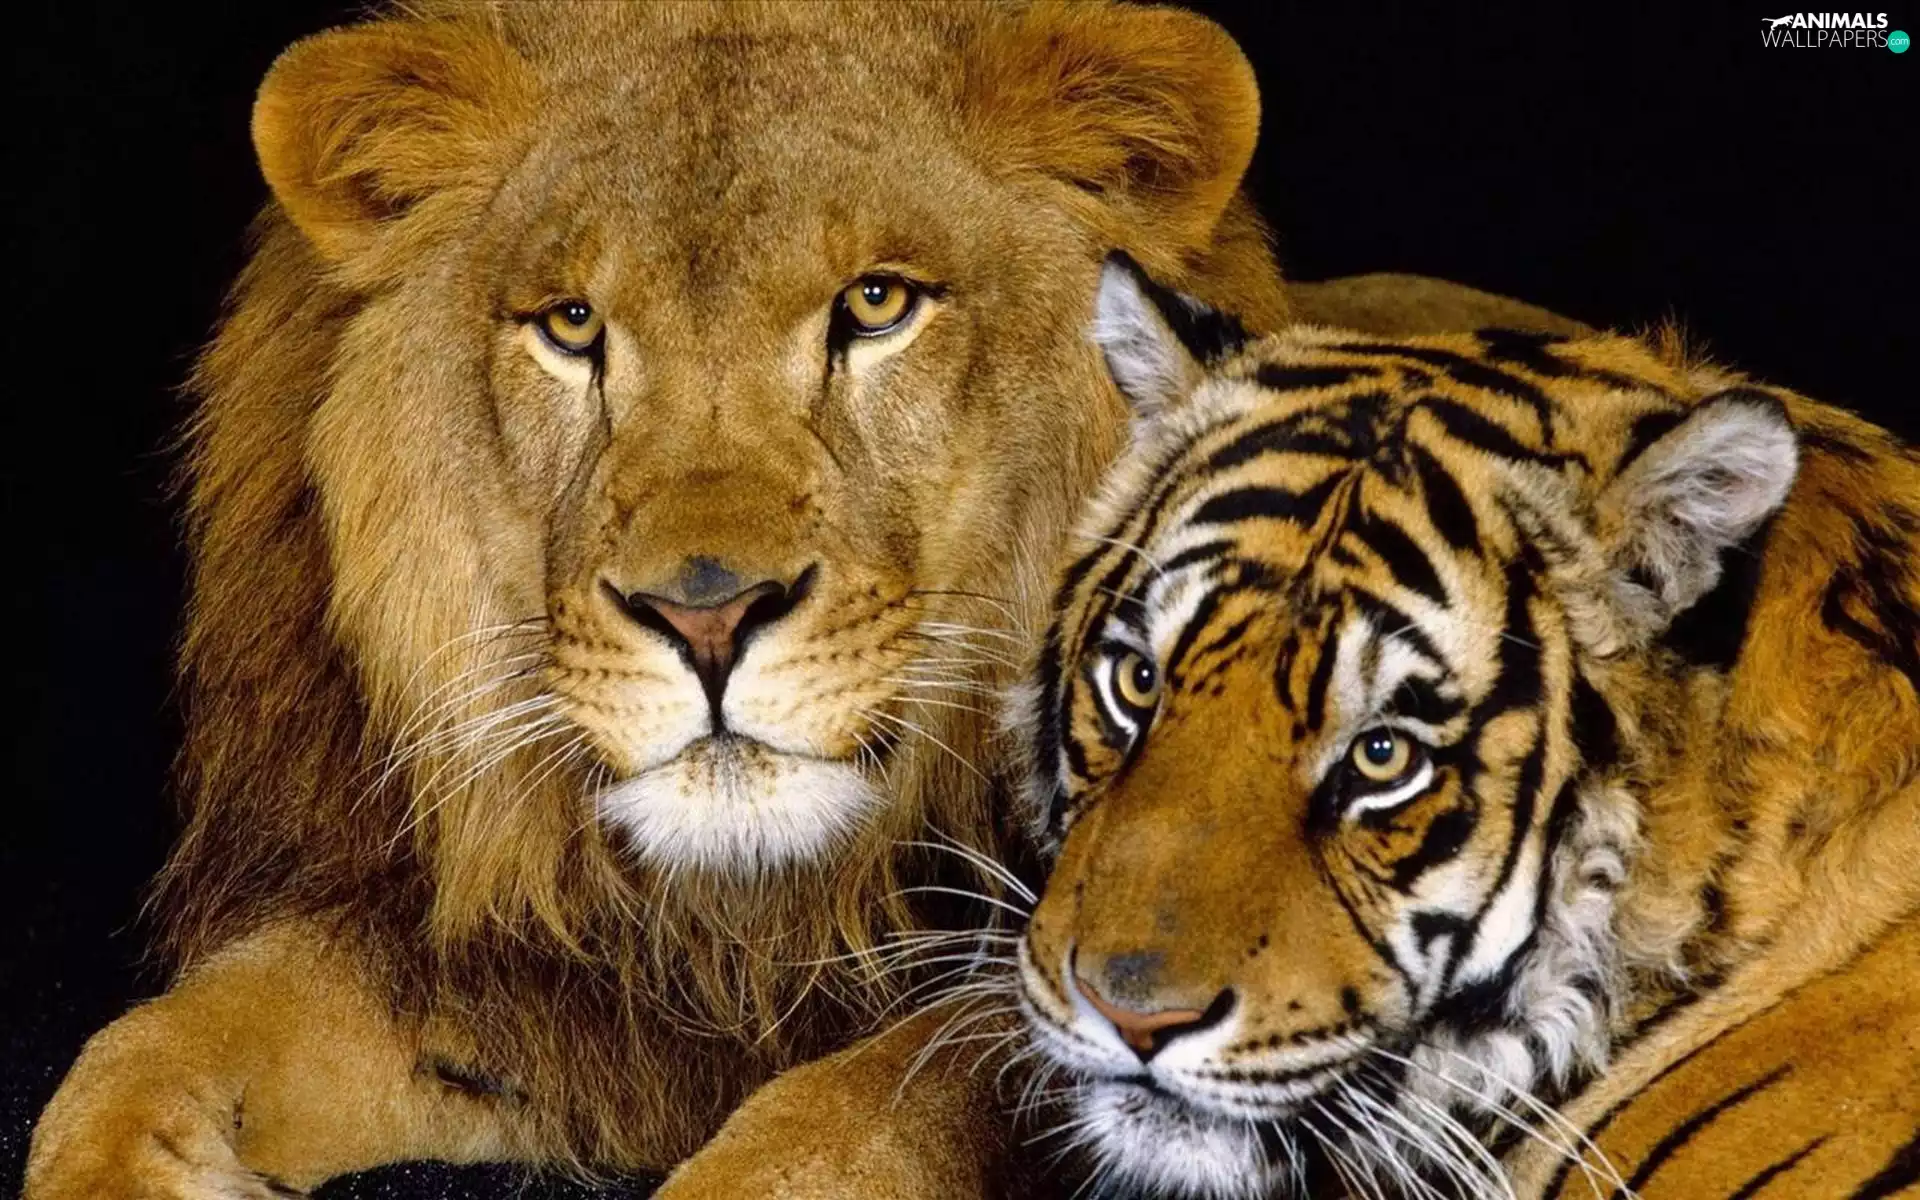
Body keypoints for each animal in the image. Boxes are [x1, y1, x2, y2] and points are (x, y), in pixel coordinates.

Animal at [24, 4, 1584, 1196]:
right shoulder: (514, 972)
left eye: (878, 303)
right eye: (573, 326)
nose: (708, 617)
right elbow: (147, 1054)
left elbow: (851, 1118)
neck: (755, 914)